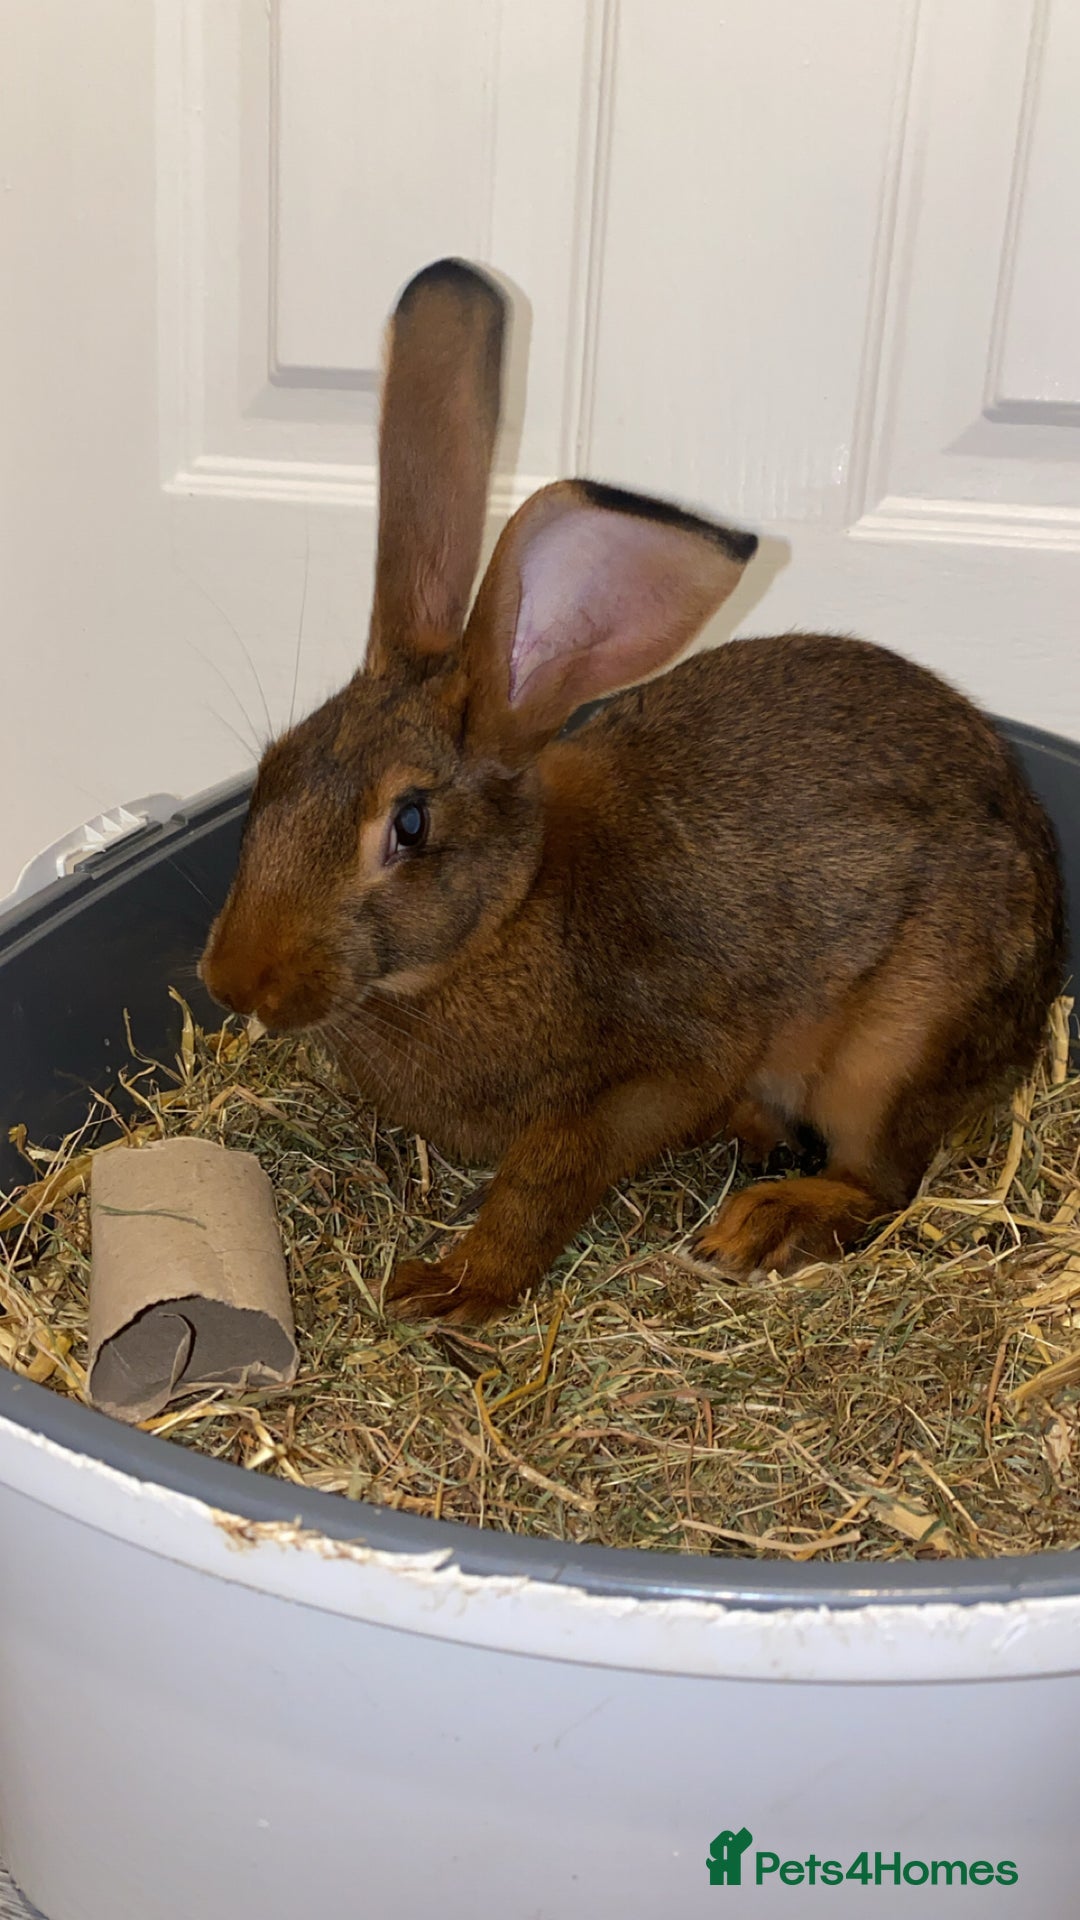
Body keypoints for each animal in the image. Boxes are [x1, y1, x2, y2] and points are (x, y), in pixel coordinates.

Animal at [200, 258, 1066, 1324]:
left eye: (408, 823)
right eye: (272, 768)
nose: (234, 981)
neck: (508, 913)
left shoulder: (654, 1073)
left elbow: (548, 1173)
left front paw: (451, 1286)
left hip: (896, 1048)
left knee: (882, 1183)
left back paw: (761, 1224)